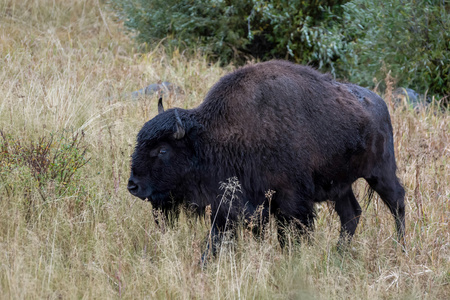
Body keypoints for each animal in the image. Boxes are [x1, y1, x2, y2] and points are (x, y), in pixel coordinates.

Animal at [127, 60, 408, 255]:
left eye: (163, 150)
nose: (133, 185)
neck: (211, 136)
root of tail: (380, 104)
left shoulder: (290, 201)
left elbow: (290, 234)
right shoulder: (230, 203)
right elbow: (216, 239)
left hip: (380, 172)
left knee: (397, 202)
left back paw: (401, 248)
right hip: (341, 186)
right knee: (351, 214)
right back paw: (340, 254)